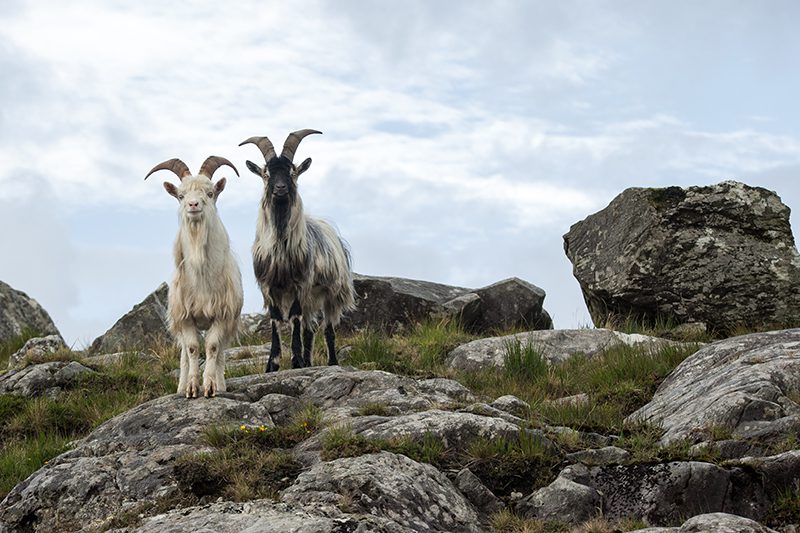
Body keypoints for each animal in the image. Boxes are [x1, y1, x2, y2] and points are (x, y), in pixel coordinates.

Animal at [144, 156, 244, 396]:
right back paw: (180, 386)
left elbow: (212, 347)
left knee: (220, 352)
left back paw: (221, 384)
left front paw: (209, 387)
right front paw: (190, 388)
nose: (193, 205)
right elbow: (191, 349)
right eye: (180, 195)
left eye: (210, 193)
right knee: (183, 353)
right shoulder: (185, 317)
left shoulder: (222, 314)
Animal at [239, 129, 354, 370]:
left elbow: (294, 317)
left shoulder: (300, 284)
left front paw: (296, 360)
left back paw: (331, 362)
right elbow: (276, 319)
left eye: (292, 172)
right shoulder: (268, 286)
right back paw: (309, 362)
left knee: (327, 328)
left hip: (331, 293)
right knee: (310, 329)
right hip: (312, 297)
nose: (280, 188)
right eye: (266, 173)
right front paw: (273, 364)